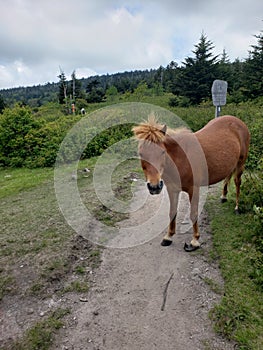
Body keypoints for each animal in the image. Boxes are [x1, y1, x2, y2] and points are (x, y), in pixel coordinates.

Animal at [133, 116, 251, 250]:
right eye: (141, 154)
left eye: (162, 152)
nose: (154, 186)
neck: (181, 159)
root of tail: (238, 121)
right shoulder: (172, 189)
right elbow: (172, 212)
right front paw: (168, 237)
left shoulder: (193, 189)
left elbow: (193, 214)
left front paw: (195, 241)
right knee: (227, 177)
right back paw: (223, 196)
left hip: (240, 164)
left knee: (237, 183)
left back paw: (237, 208)